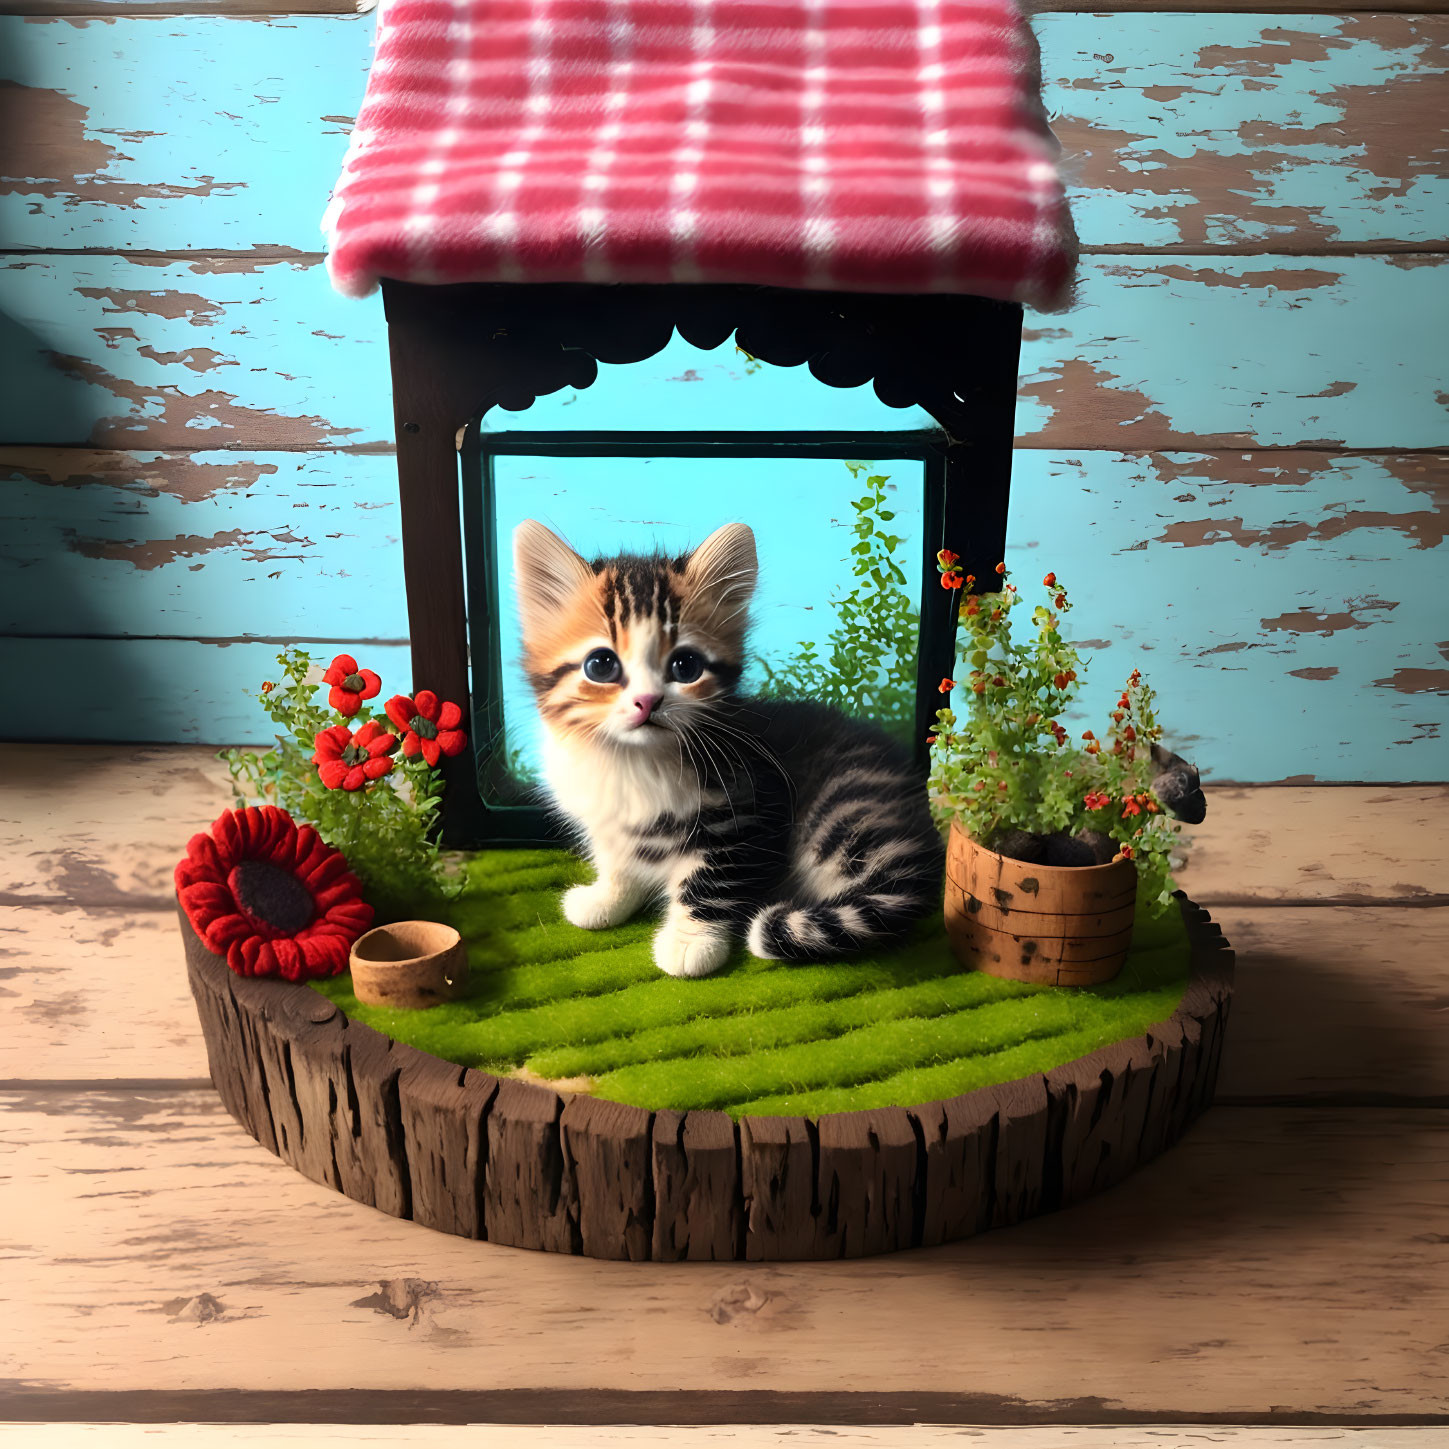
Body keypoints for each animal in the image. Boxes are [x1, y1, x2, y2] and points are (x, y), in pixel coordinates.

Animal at [515, 515, 944, 979]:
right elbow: (616, 860)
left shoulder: (746, 811)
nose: (647, 701)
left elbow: (712, 876)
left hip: (844, 808)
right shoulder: (607, 822)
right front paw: (607, 898)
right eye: (601, 664)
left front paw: (691, 941)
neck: (631, 760)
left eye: (685, 666)